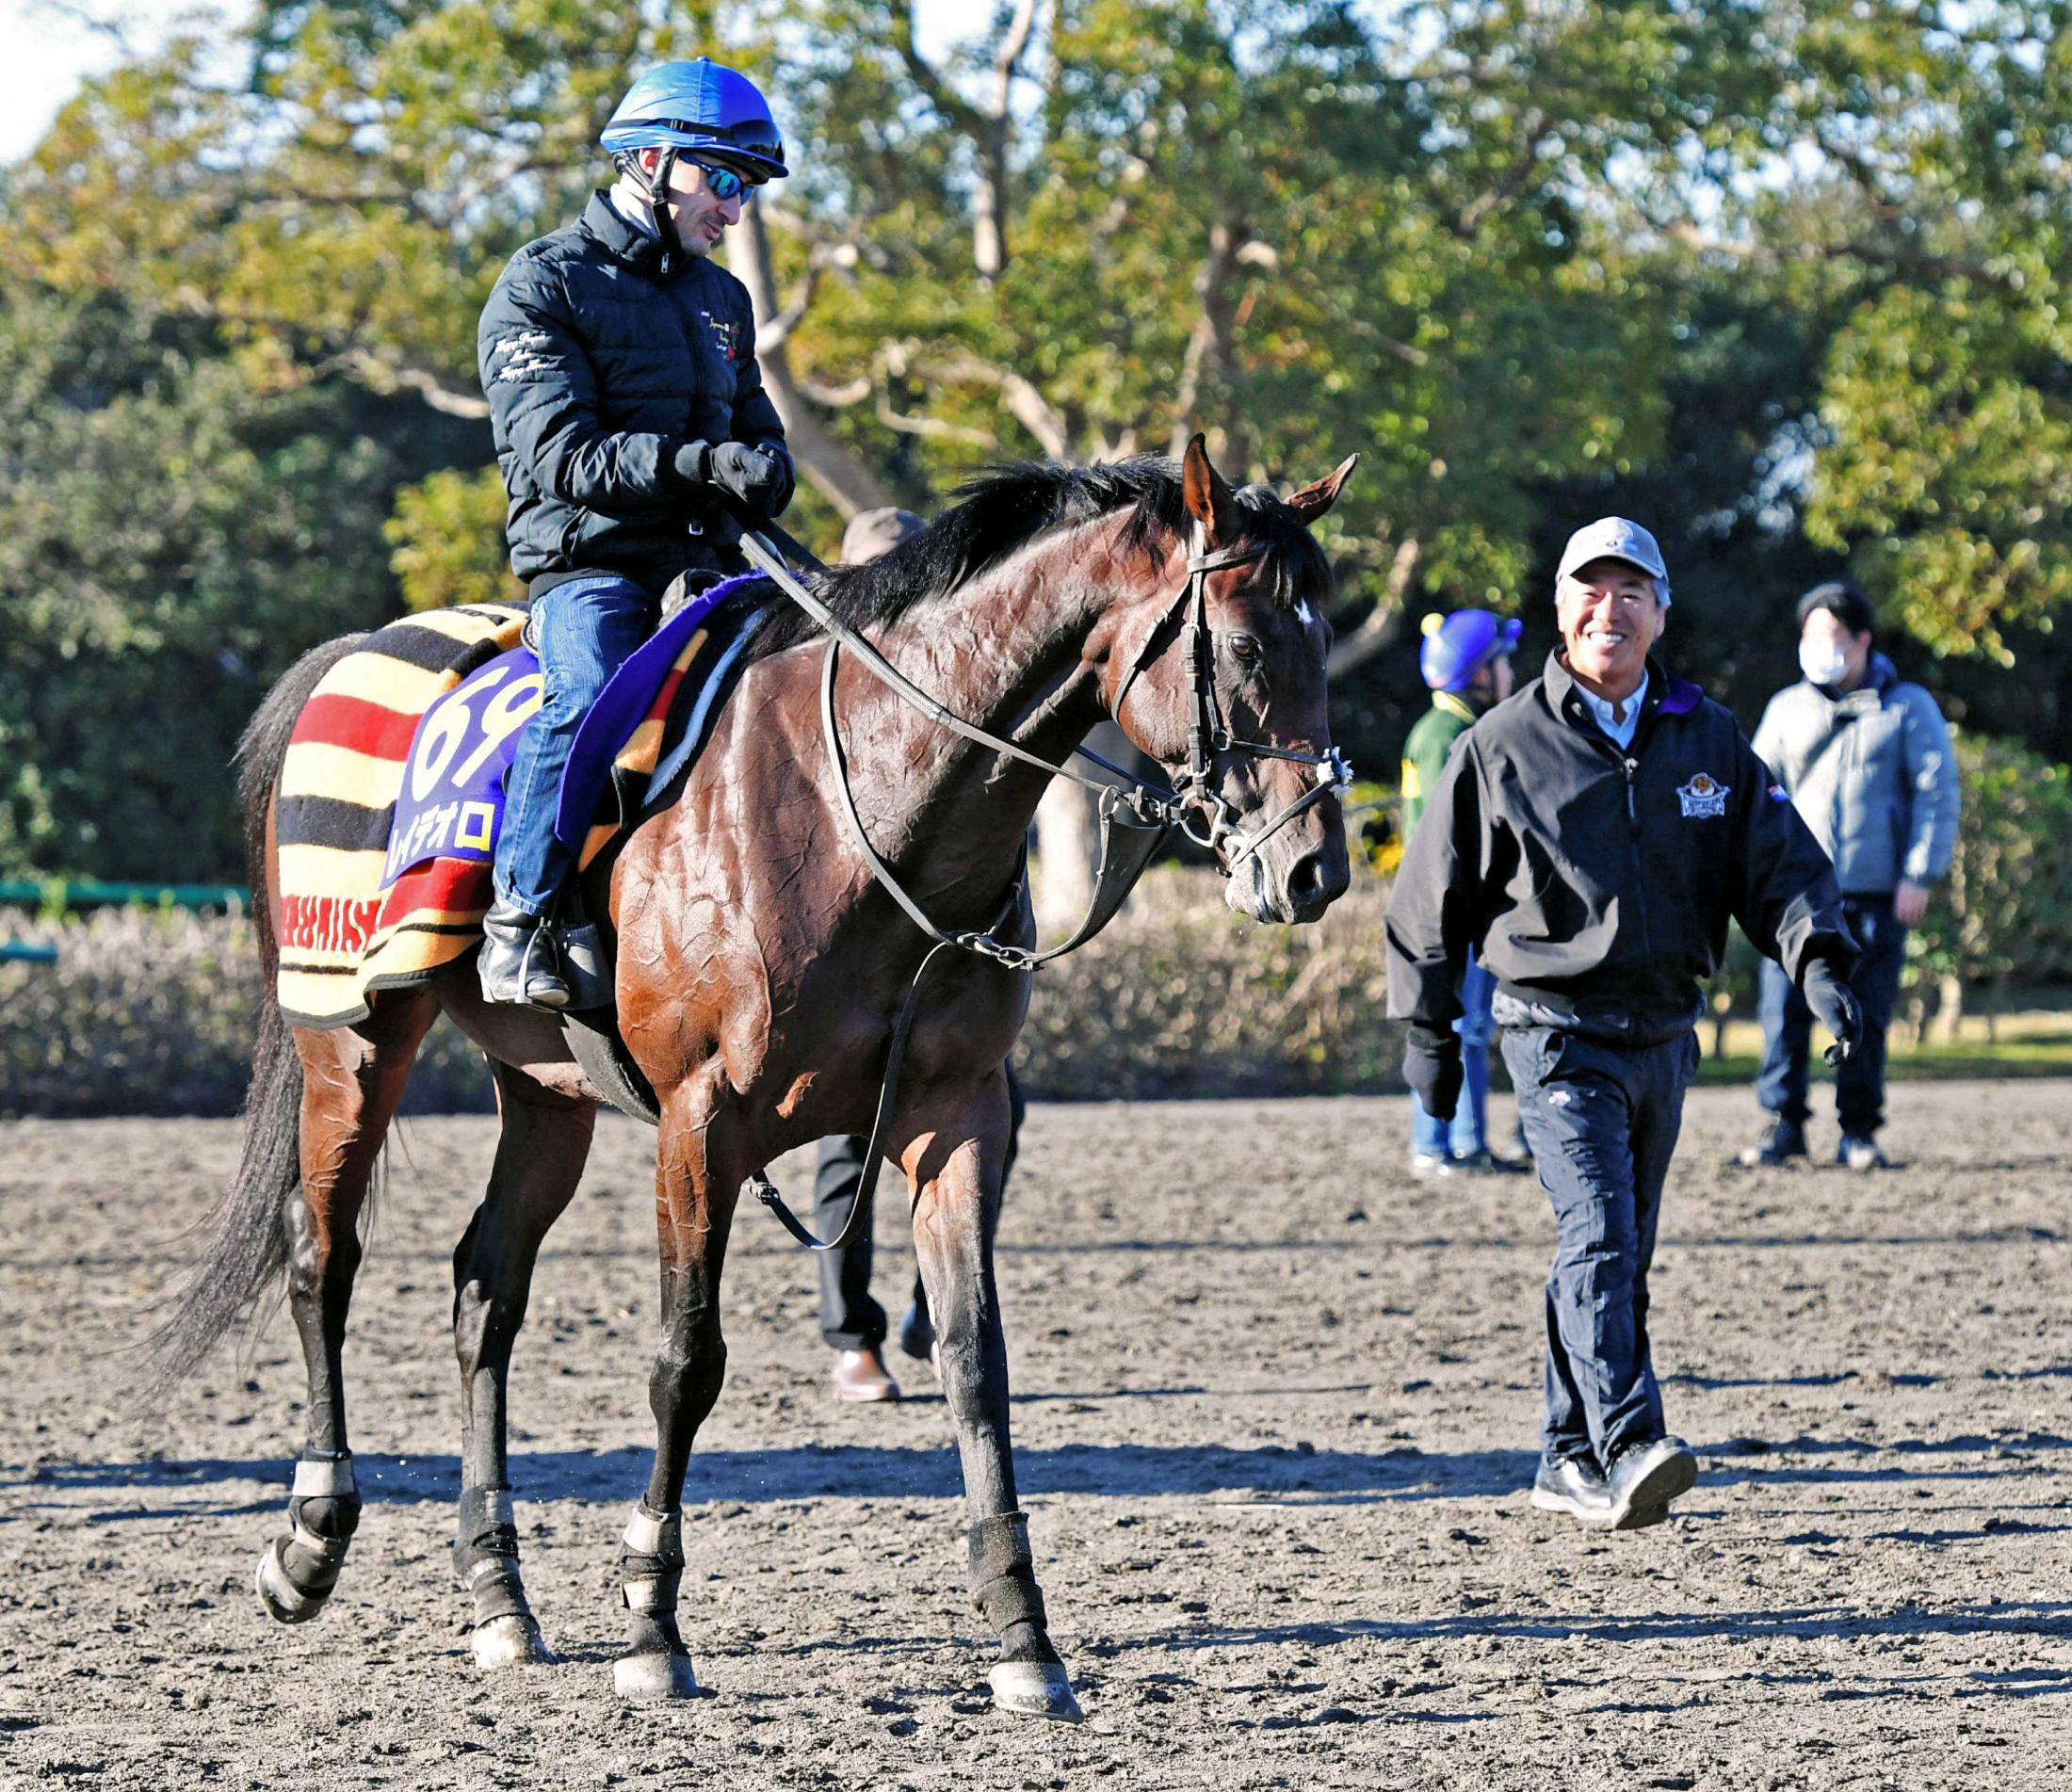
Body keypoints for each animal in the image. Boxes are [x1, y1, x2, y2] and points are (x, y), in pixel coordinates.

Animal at [157, 432, 1359, 1723]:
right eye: (1248, 646)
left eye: (1323, 642)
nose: (1314, 870)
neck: (863, 810)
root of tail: (352, 656)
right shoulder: (701, 1125)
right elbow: (686, 1362)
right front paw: (650, 1620)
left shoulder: (955, 1116)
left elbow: (974, 1359)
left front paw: (1023, 1634)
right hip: (353, 1039)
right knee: (320, 1256)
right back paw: (310, 1538)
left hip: (546, 1092)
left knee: (486, 1288)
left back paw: (499, 1597)